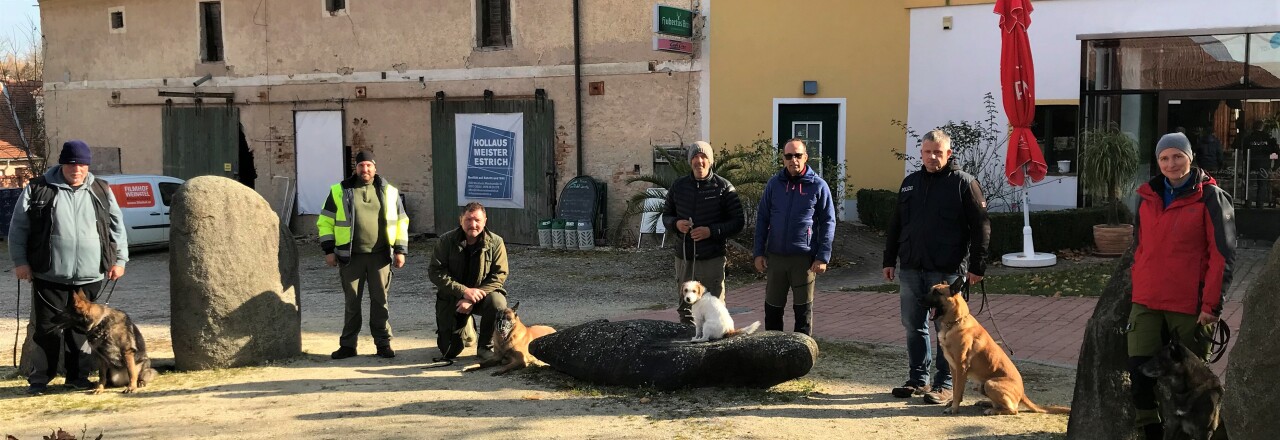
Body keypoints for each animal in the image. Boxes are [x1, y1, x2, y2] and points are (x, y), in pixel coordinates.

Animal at [926, 280, 1075, 414]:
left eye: (937, 292)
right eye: (931, 289)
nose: (921, 298)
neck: (955, 322)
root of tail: (1022, 394)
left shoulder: (961, 367)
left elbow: (958, 391)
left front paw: (954, 408)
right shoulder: (954, 368)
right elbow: (956, 388)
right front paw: (952, 403)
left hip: (989, 383)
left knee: (1013, 410)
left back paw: (992, 410)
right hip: (981, 386)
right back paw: (985, 403)